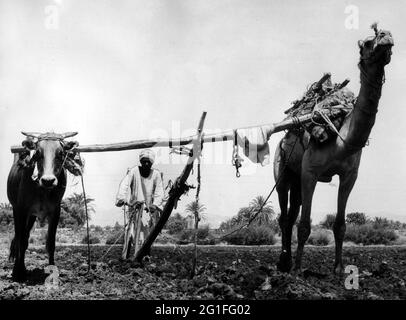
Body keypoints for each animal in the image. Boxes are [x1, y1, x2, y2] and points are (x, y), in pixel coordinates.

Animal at [272, 26, 394, 274]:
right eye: (367, 43)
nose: (386, 36)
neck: (342, 141)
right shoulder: (310, 171)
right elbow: (305, 225)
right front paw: (298, 271)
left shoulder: (349, 175)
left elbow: (340, 225)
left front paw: (338, 268)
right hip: (282, 171)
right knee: (284, 215)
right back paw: (284, 263)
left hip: (296, 178)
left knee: (291, 213)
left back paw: (286, 261)